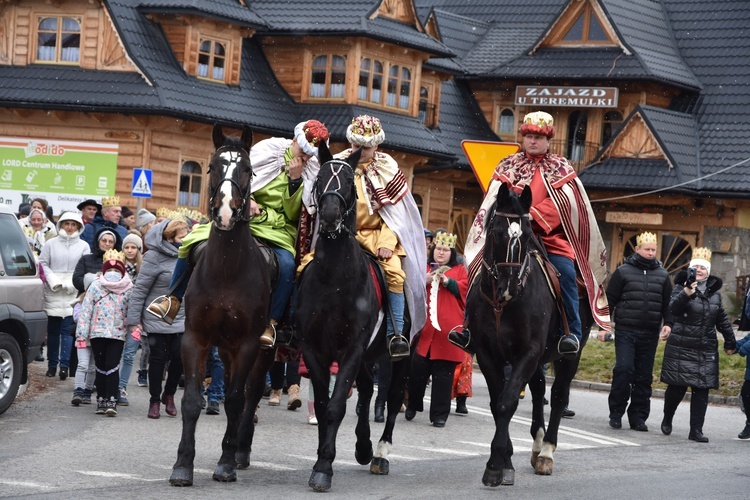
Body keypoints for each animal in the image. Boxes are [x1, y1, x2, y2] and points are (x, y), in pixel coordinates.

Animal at [170, 126, 276, 488]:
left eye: (248, 169)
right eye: (213, 167)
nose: (226, 211)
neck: (227, 270)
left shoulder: (247, 344)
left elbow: (235, 399)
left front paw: (226, 463)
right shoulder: (196, 339)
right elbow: (191, 401)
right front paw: (182, 465)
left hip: (263, 350)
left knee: (251, 393)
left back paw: (240, 450)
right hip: (226, 350)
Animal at [296, 141, 412, 492]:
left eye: (348, 181)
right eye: (320, 178)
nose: (331, 216)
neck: (335, 281)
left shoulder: (351, 349)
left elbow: (336, 406)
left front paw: (324, 467)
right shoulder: (315, 350)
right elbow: (324, 405)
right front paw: (322, 459)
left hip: (397, 358)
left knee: (391, 399)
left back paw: (381, 454)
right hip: (367, 358)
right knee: (364, 396)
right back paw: (363, 447)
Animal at [468, 183, 592, 484]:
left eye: (525, 235)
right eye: (497, 232)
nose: (509, 286)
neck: (502, 305)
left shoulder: (528, 352)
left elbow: (507, 402)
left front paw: (495, 465)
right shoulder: (488, 354)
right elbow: (496, 403)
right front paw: (505, 460)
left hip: (569, 354)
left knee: (558, 395)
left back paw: (546, 453)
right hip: (540, 359)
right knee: (538, 391)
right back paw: (536, 447)